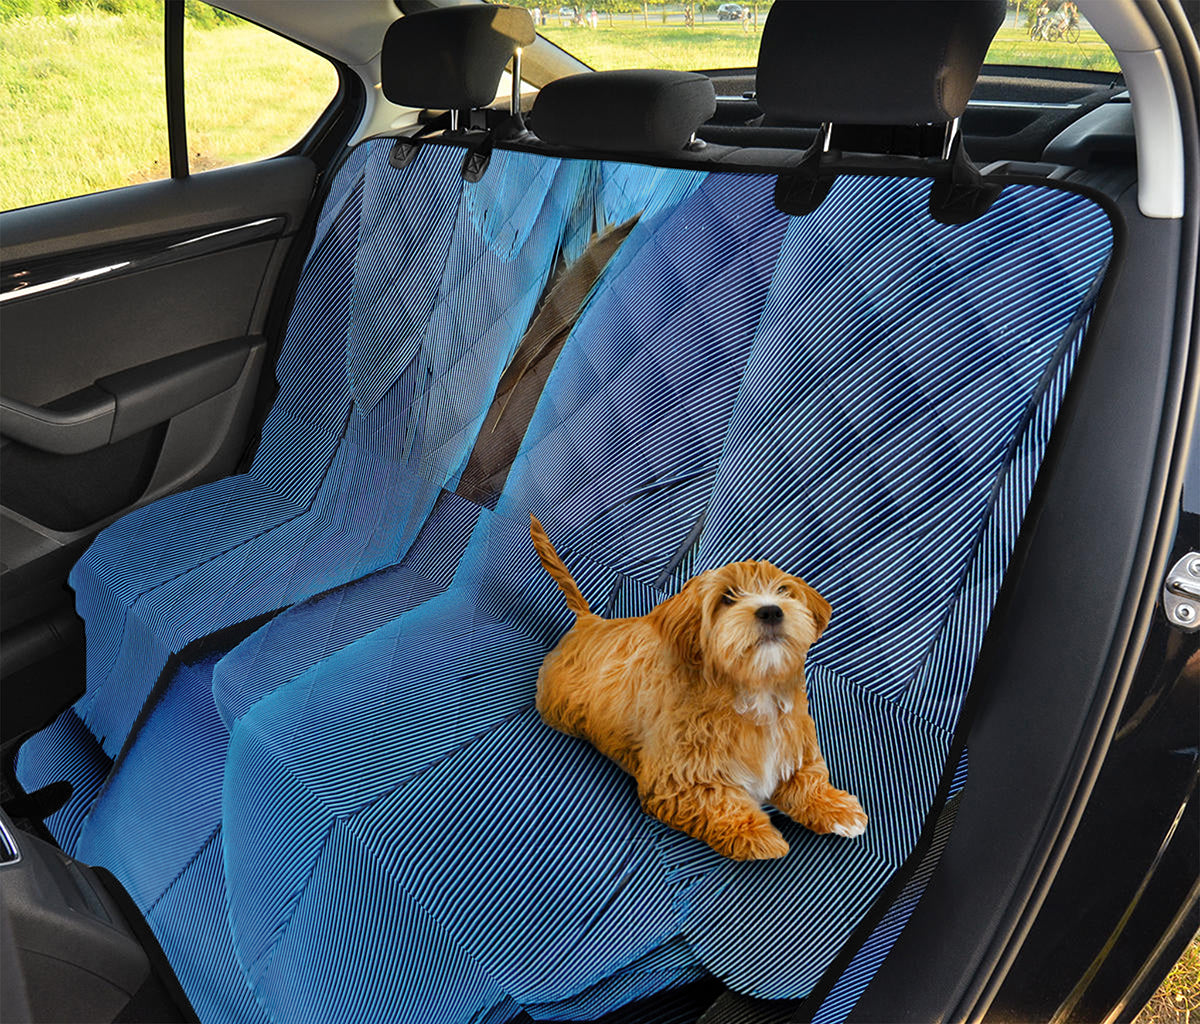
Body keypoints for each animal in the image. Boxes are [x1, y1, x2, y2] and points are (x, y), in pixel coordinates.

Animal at [532, 516, 864, 859]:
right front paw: (756, 834)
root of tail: (590, 623)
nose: (772, 610)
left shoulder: (792, 748)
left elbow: (808, 778)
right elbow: (716, 801)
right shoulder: (675, 780)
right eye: (727, 598)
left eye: (784, 590)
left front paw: (837, 808)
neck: (753, 695)